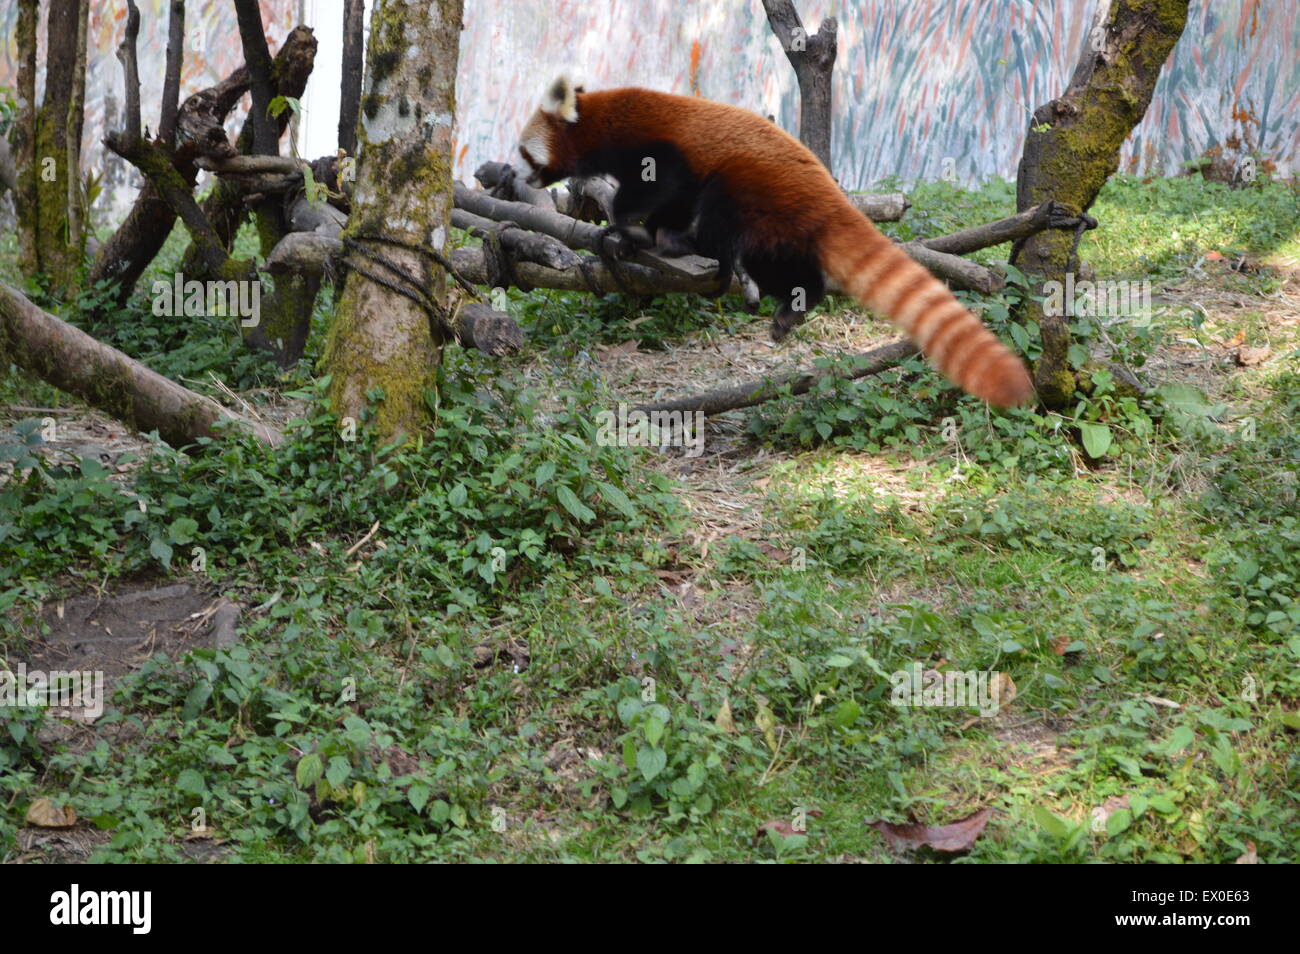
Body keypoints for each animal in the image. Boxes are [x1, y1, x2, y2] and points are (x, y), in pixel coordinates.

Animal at [517, 79, 1034, 410]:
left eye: (524, 152)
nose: (518, 175)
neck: (604, 120)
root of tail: (826, 191)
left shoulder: (658, 149)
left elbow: (659, 188)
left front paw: (630, 227)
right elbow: (669, 201)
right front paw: (630, 235)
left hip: (753, 187)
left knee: (722, 214)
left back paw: (687, 247)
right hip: (777, 231)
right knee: (788, 268)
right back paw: (788, 305)